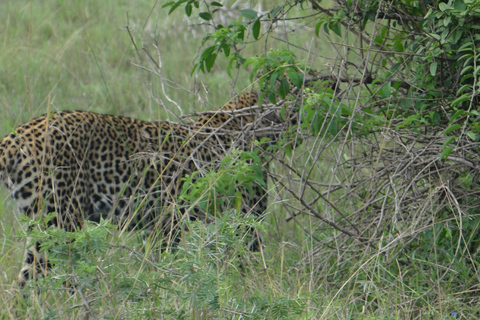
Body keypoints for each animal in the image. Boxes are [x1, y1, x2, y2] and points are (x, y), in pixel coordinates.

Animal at [0, 90, 288, 290]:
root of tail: (15, 137)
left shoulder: (162, 225)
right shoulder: (243, 218)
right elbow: (252, 262)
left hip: (42, 227)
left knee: (22, 284)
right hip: (60, 225)